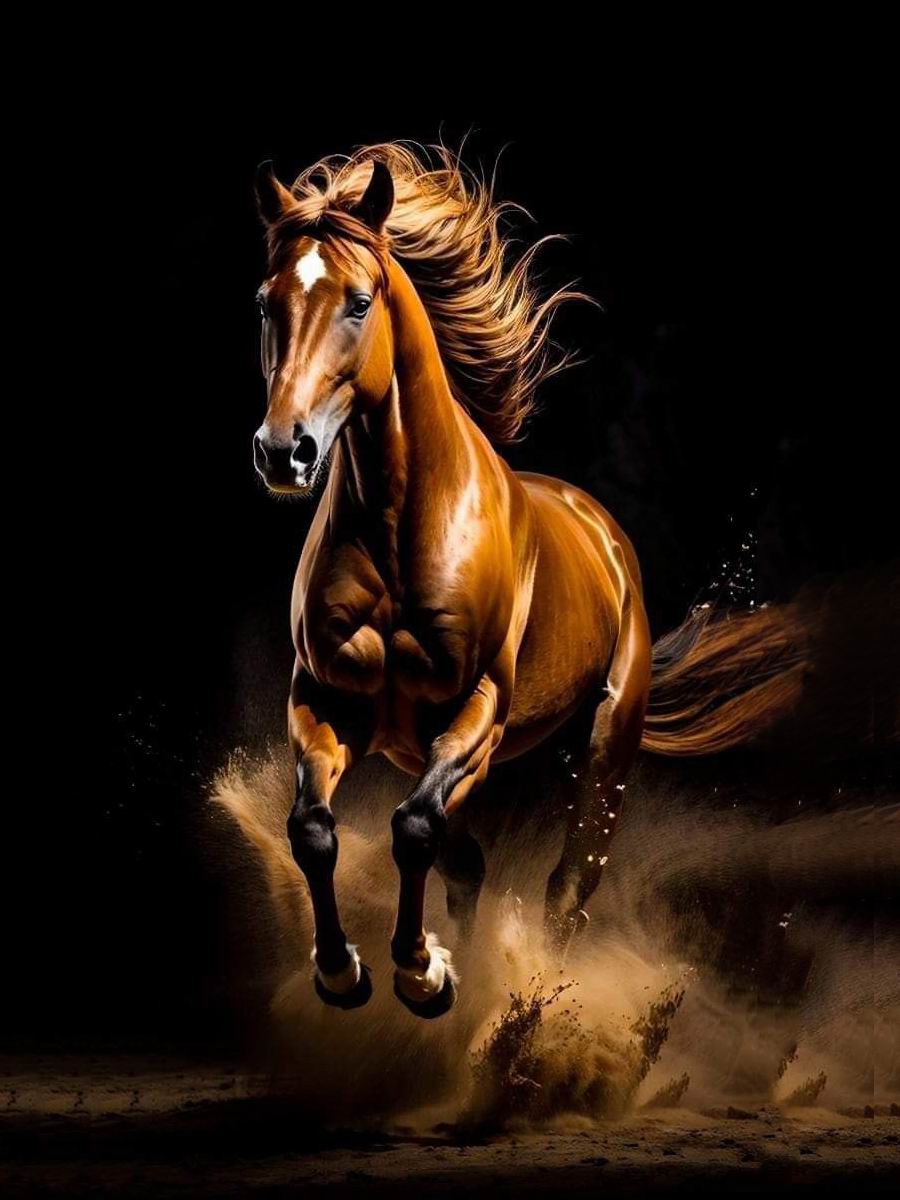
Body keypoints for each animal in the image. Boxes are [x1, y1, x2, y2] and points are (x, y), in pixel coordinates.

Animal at [251, 144, 806, 1019]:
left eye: (359, 302)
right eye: (266, 304)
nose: (285, 452)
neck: (403, 524)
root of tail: (606, 536)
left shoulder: (477, 707)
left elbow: (413, 830)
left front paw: (421, 974)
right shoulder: (324, 699)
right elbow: (315, 829)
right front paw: (346, 972)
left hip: (600, 749)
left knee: (565, 885)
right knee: (469, 860)